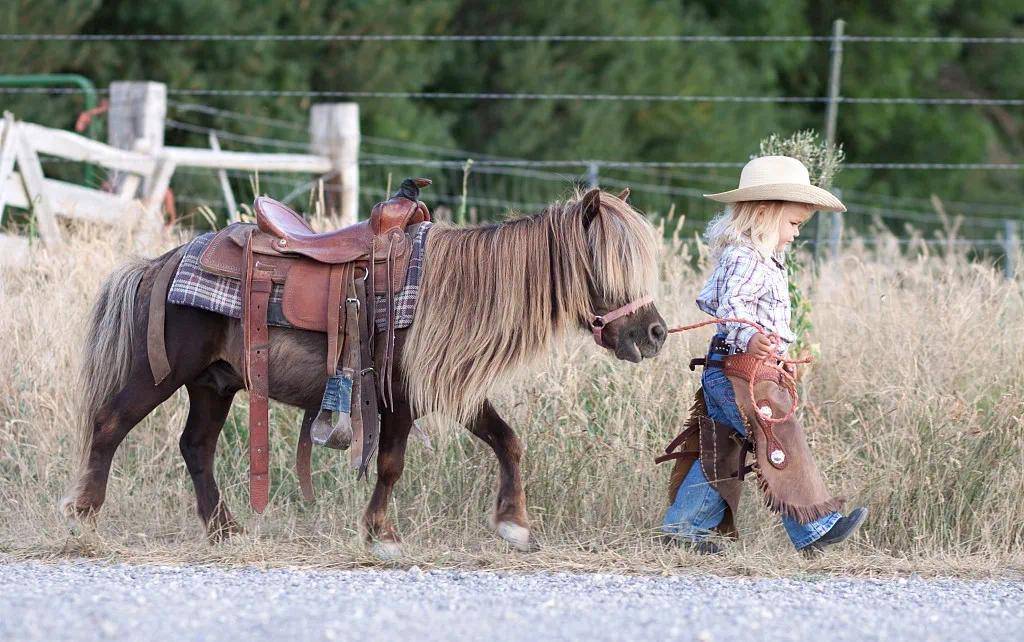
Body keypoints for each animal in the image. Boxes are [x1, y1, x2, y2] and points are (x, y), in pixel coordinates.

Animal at [61, 187, 663, 557]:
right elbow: (392, 465)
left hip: (215, 383)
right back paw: (84, 514)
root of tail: (165, 263)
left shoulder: (448, 390)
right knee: (110, 424)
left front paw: (514, 525)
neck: (449, 290)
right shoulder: (399, 397)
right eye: (607, 267)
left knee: (196, 448)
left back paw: (225, 530)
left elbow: (508, 441)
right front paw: (381, 534)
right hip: (160, 374)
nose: (655, 333)